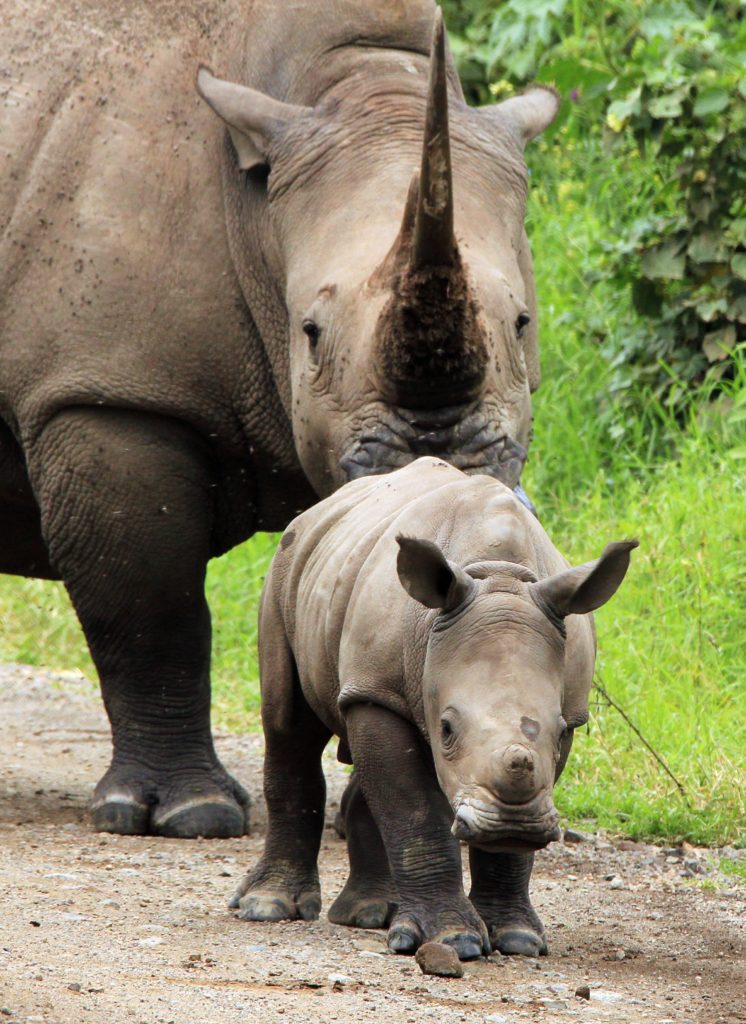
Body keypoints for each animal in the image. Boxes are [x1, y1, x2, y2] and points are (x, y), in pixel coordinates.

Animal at [237, 460, 634, 954]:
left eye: (561, 732)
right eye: (446, 728)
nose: (513, 825)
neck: (499, 574)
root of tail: (321, 508)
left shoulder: (570, 705)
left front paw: (517, 938)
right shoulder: (378, 687)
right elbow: (415, 812)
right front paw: (453, 940)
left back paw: (369, 915)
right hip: (286, 568)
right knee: (289, 728)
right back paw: (270, 908)